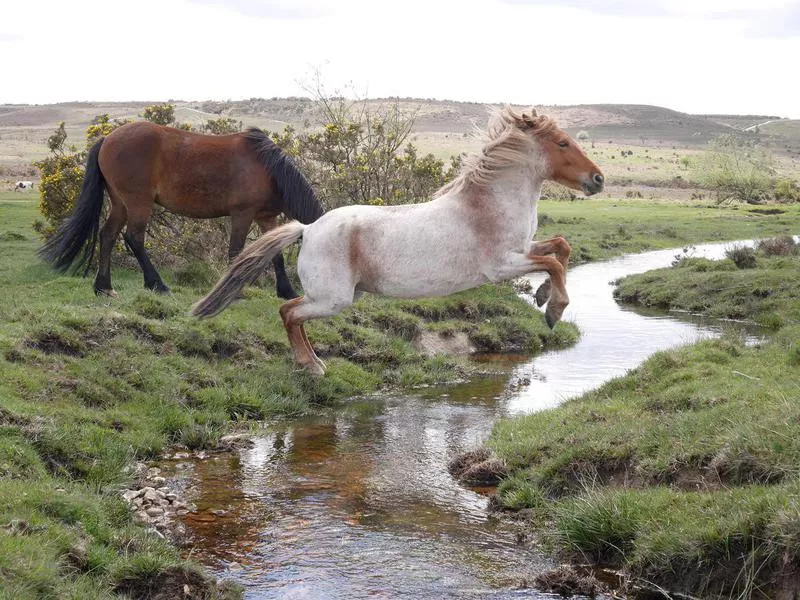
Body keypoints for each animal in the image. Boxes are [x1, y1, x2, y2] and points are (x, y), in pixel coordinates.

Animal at [39, 120, 322, 298]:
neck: (268, 168)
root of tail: (107, 138)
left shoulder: (266, 217)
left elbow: (276, 254)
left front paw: (286, 291)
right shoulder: (243, 214)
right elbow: (236, 252)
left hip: (120, 204)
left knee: (107, 236)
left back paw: (104, 287)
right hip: (138, 203)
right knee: (134, 238)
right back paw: (157, 284)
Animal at [194, 108, 604, 376]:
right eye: (563, 143)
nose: (598, 179)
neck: (488, 205)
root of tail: (308, 229)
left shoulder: (523, 250)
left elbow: (561, 248)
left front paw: (542, 296)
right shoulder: (501, 265)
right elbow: (554, 262)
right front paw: (553, 310)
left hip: (335, 296)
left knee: (290, 312)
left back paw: (312, 362)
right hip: (332, 299)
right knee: (289, 312)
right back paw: (312, 366)